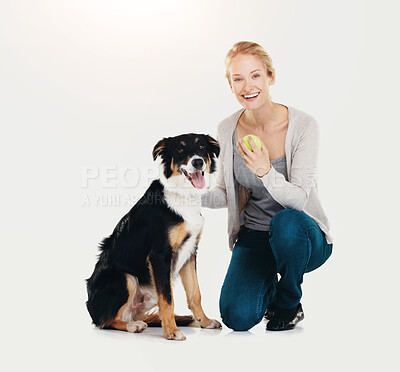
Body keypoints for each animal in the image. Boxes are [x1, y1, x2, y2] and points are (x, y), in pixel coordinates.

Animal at [86, 133, 222, 340]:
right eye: (180, 149)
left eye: (201, 148)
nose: (198, 162)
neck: (183, 195)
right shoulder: (160, 255)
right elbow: (168, 298)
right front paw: (172, 331)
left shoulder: (190, 252)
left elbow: (195, 294)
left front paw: (204, 322)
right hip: (127, 278)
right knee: (106, 321)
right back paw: (133, 326)